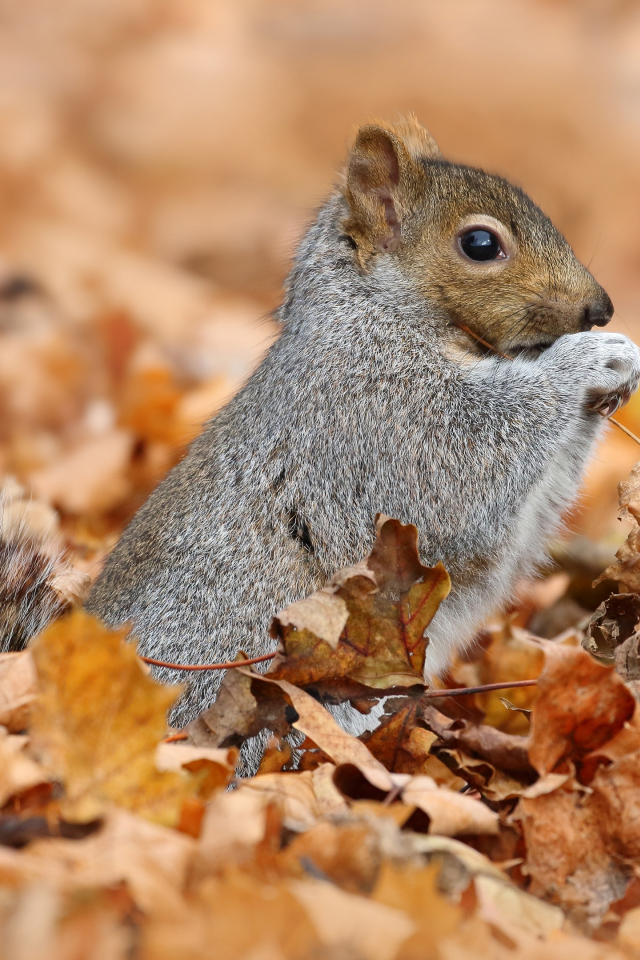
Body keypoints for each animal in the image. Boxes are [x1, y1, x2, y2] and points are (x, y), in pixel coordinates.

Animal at [86, 114, 640, 728]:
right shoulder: (381, 412)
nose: (601, 310)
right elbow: (473, 463)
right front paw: (587, 359)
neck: (374, 310)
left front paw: (622, 369)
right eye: (480, 244)